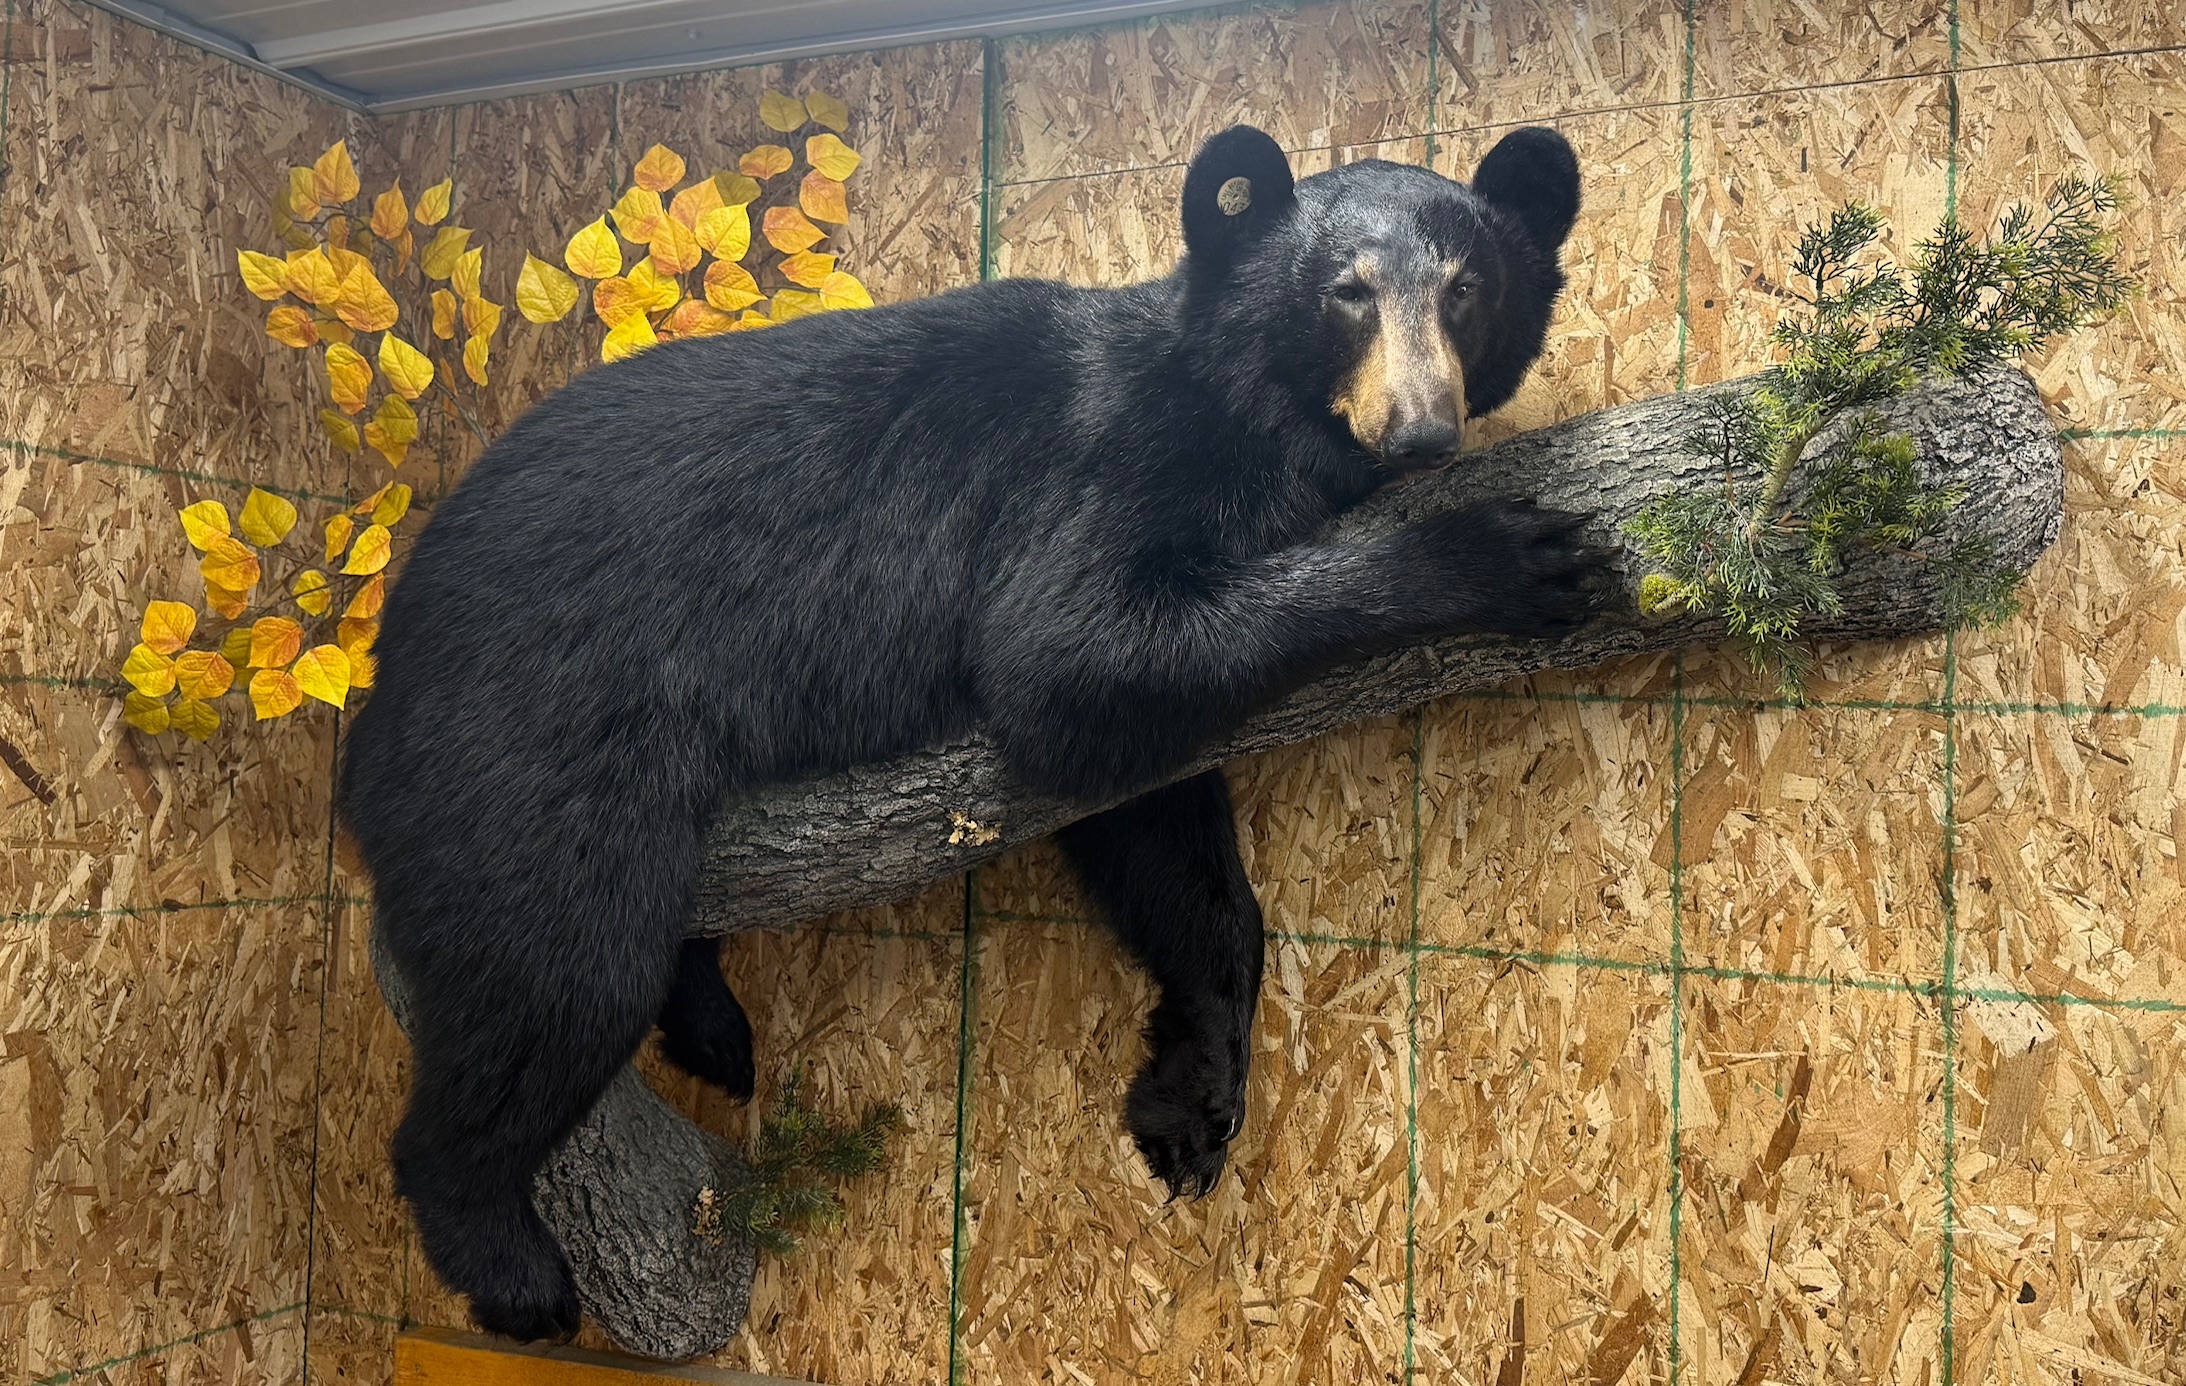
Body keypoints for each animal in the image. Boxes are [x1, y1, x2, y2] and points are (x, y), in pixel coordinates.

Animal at [338, 122, 1600, 1341]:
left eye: (1466, 288)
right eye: (1344, 291)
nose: (1419, 430)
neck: (1248, 420)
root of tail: (385, 664)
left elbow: (1169, 844)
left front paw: (1187, 1108)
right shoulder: (1100, 467)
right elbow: (1066, 657)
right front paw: (1500, 554)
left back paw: (713, 1031)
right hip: (530, 733)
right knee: (560, 959)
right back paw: (511, 1267)